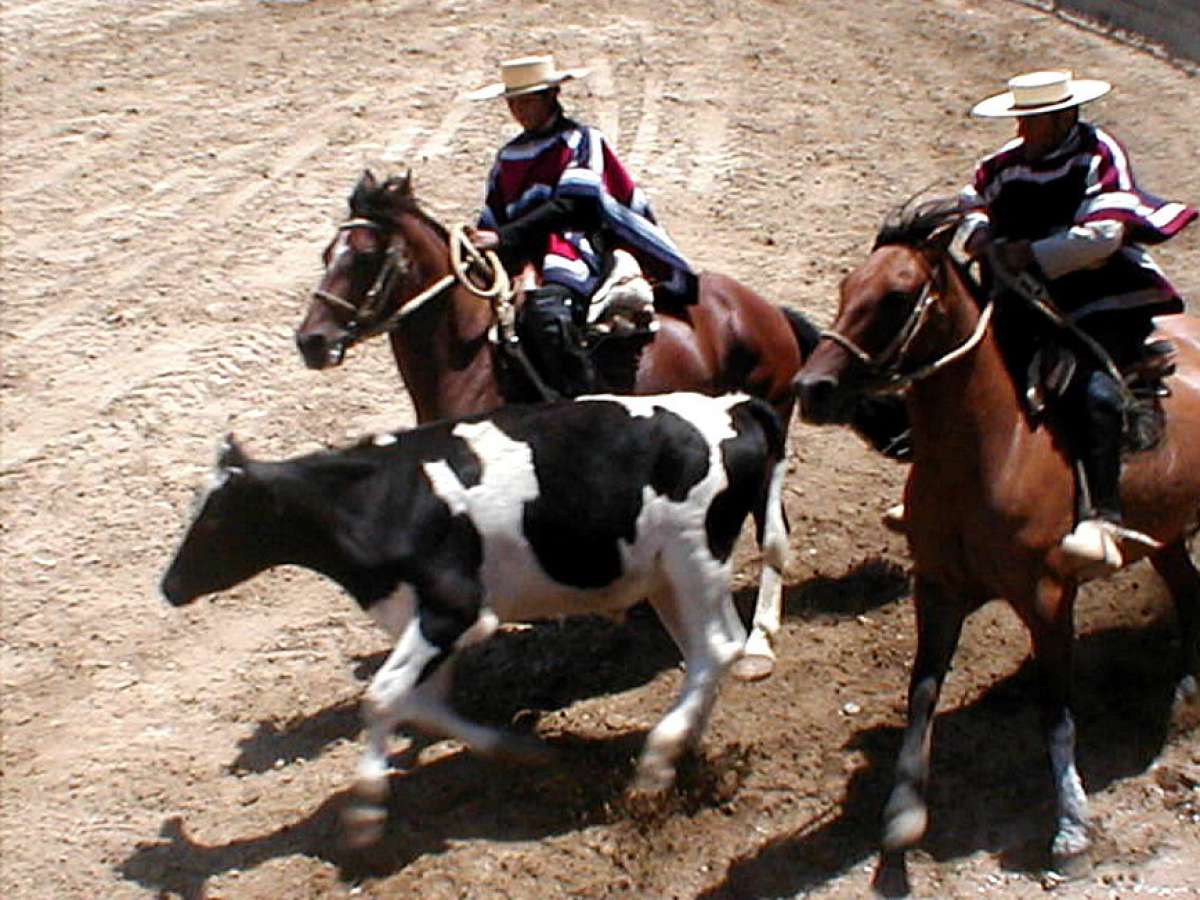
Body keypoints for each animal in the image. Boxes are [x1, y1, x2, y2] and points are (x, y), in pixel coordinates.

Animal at [164, 393, 792, 844]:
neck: (382, 500)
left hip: (694, 559)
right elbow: (425, 707)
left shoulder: (455, 610)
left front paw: (365, 813)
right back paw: (682, 744)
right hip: (667, 577)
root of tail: (730, 407)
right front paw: (518, 750)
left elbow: (382, 696)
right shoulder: (424, 623)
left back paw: (655, 767)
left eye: (216, 520)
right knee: (713, 650)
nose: (168, 588)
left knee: (713, 650)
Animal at [792, 196, 1195, 888]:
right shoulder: (937, 589)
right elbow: (921, 693)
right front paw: (903, 814)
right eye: (846, 287)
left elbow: (1056, 712)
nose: (810, 389)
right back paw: (1187, 695)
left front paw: (1071, 830)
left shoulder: (1048, 598)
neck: (990, 452)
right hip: (1166, 535)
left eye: (897, 295)